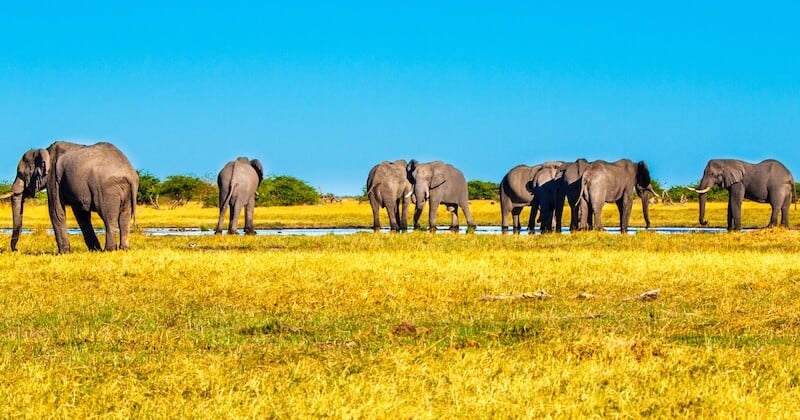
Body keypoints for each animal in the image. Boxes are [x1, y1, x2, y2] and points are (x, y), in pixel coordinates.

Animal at [2, 141, 138, 253]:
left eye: (20, 174)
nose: (16, 250)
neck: (44, 151)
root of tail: (130, 173)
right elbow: (81, 215)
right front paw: (94, 250)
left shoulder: (53, 178)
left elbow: (55, 211)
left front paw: (63, 253)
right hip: (125, 191)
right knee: (124, 217)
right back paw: (124, 249)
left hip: (107, 190)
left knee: (108, 217)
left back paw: (109, 250)